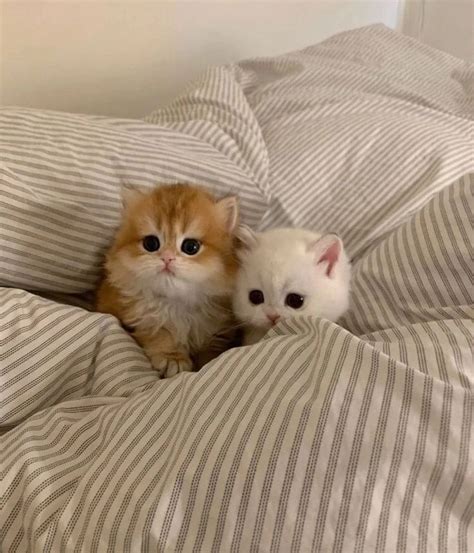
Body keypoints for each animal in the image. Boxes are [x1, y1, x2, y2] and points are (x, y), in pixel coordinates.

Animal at [96, 183, 239, 378]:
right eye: (151, 243)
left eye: (191, 246)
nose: (167, 257)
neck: (177, 303)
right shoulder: (144, 320)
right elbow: (161, 334)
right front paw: (173, 357)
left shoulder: (218, 331)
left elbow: (210, 351)